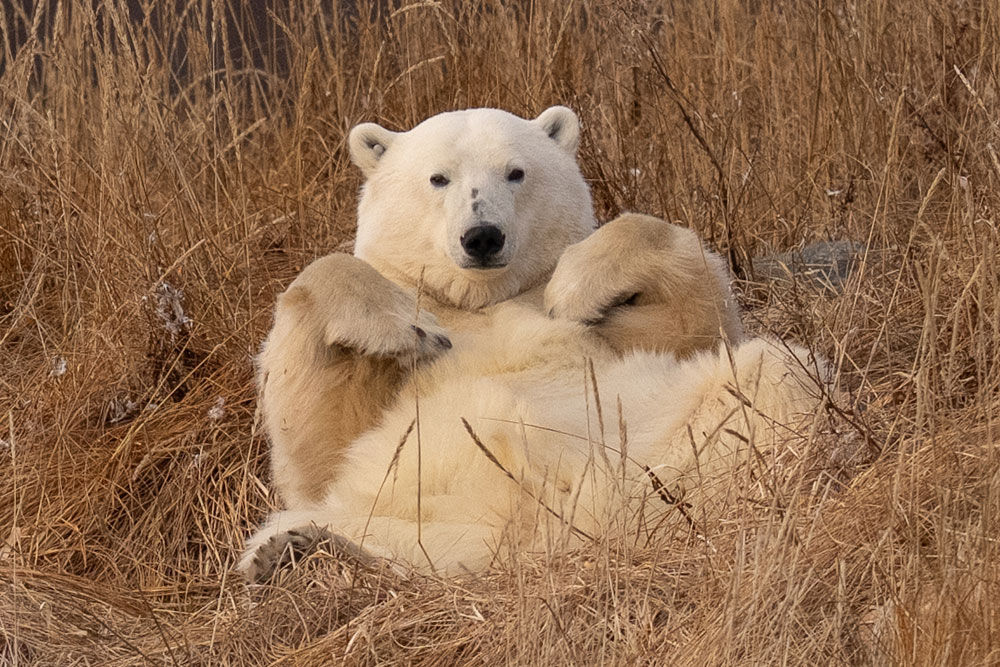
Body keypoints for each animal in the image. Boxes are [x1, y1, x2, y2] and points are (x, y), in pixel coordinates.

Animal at [239, 106, 824, 580]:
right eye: (438, 178)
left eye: (516, 171)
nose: (483, 235)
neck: (483, 301)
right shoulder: (385, 395)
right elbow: (318, 445)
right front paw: (406, 323)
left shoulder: (606, 334)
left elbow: (694, 318)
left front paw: (574, 283)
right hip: (406, 502)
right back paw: (292, 549)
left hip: (661, 422)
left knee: (770, 375)